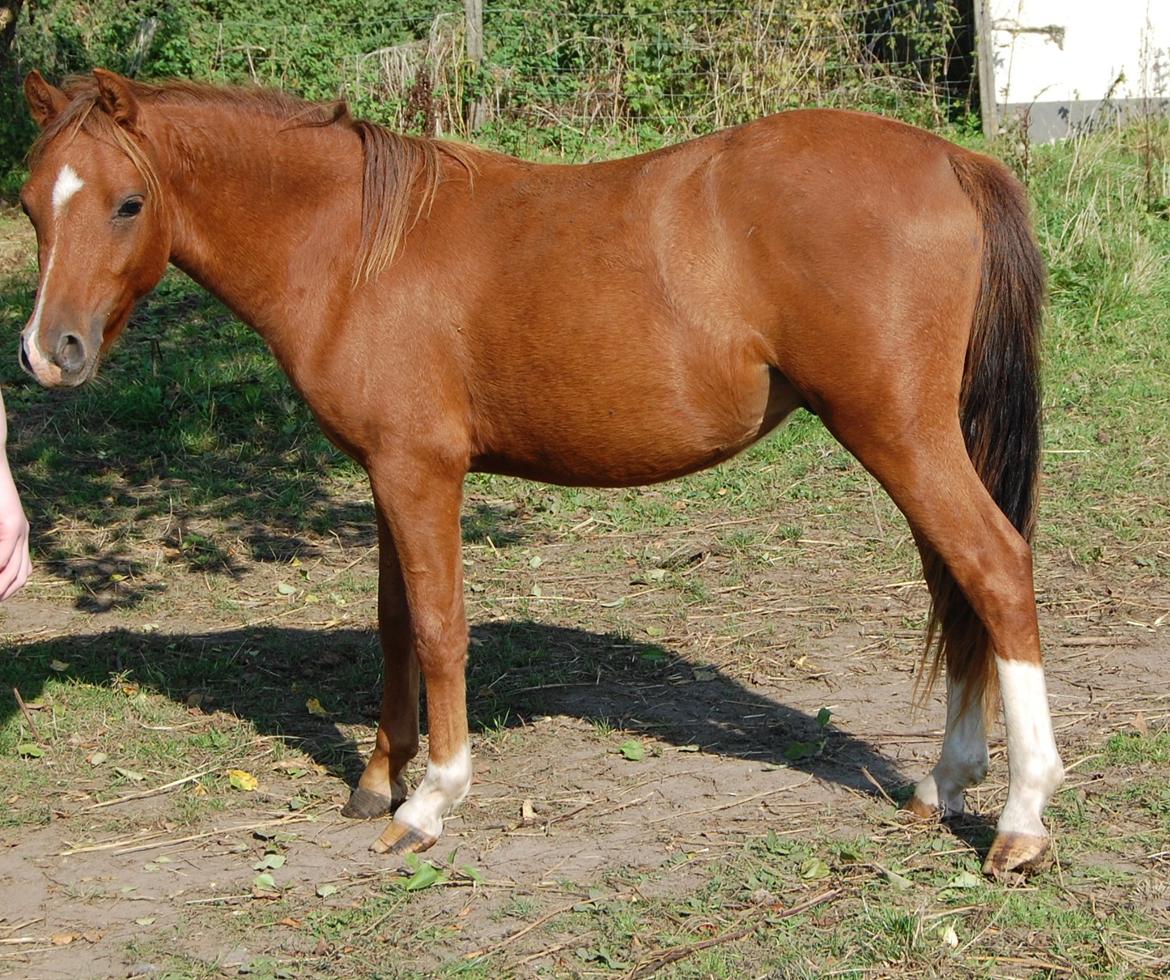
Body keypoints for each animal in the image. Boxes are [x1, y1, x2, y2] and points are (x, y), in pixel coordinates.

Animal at [17, 68, 1063, 876]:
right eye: (30, 205)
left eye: (128, 203)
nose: (47, 353)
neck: (355, 248)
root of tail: (952, 160)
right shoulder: (386, 476)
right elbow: (396, 627)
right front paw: (376, 779)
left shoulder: (422, 474)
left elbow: (440, 630)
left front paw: (431, 800)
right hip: (912, 439)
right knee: (956, 584)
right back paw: (945, 783)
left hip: (899, 434)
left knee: (994, 568)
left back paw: (1020, 819)